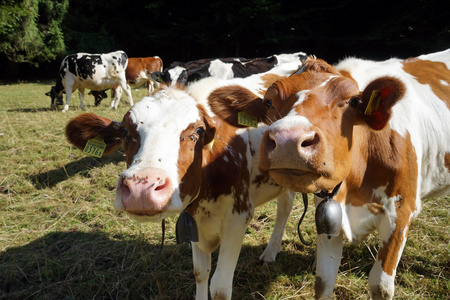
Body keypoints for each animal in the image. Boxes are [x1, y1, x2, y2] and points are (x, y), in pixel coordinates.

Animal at [230, 50, 448, 298]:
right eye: (268, 102)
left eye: (352, 101)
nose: (288, 141)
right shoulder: (328, 217)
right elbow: (323, 282)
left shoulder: (401, 212)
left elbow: (380, 286)